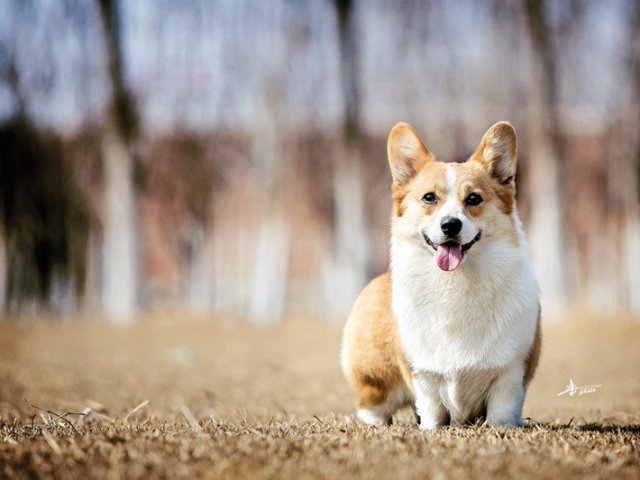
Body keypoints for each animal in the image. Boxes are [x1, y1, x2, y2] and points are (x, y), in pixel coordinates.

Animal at [340, 122, 540, 430]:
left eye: (474, 198)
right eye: (429, 198)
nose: (450, 225)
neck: (456, 282)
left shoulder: (510, 372)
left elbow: (501, 412)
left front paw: (504, 428)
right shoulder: (424, 374)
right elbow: (431, 408)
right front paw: (430, 430)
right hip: (375, 381)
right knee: (374, 407)